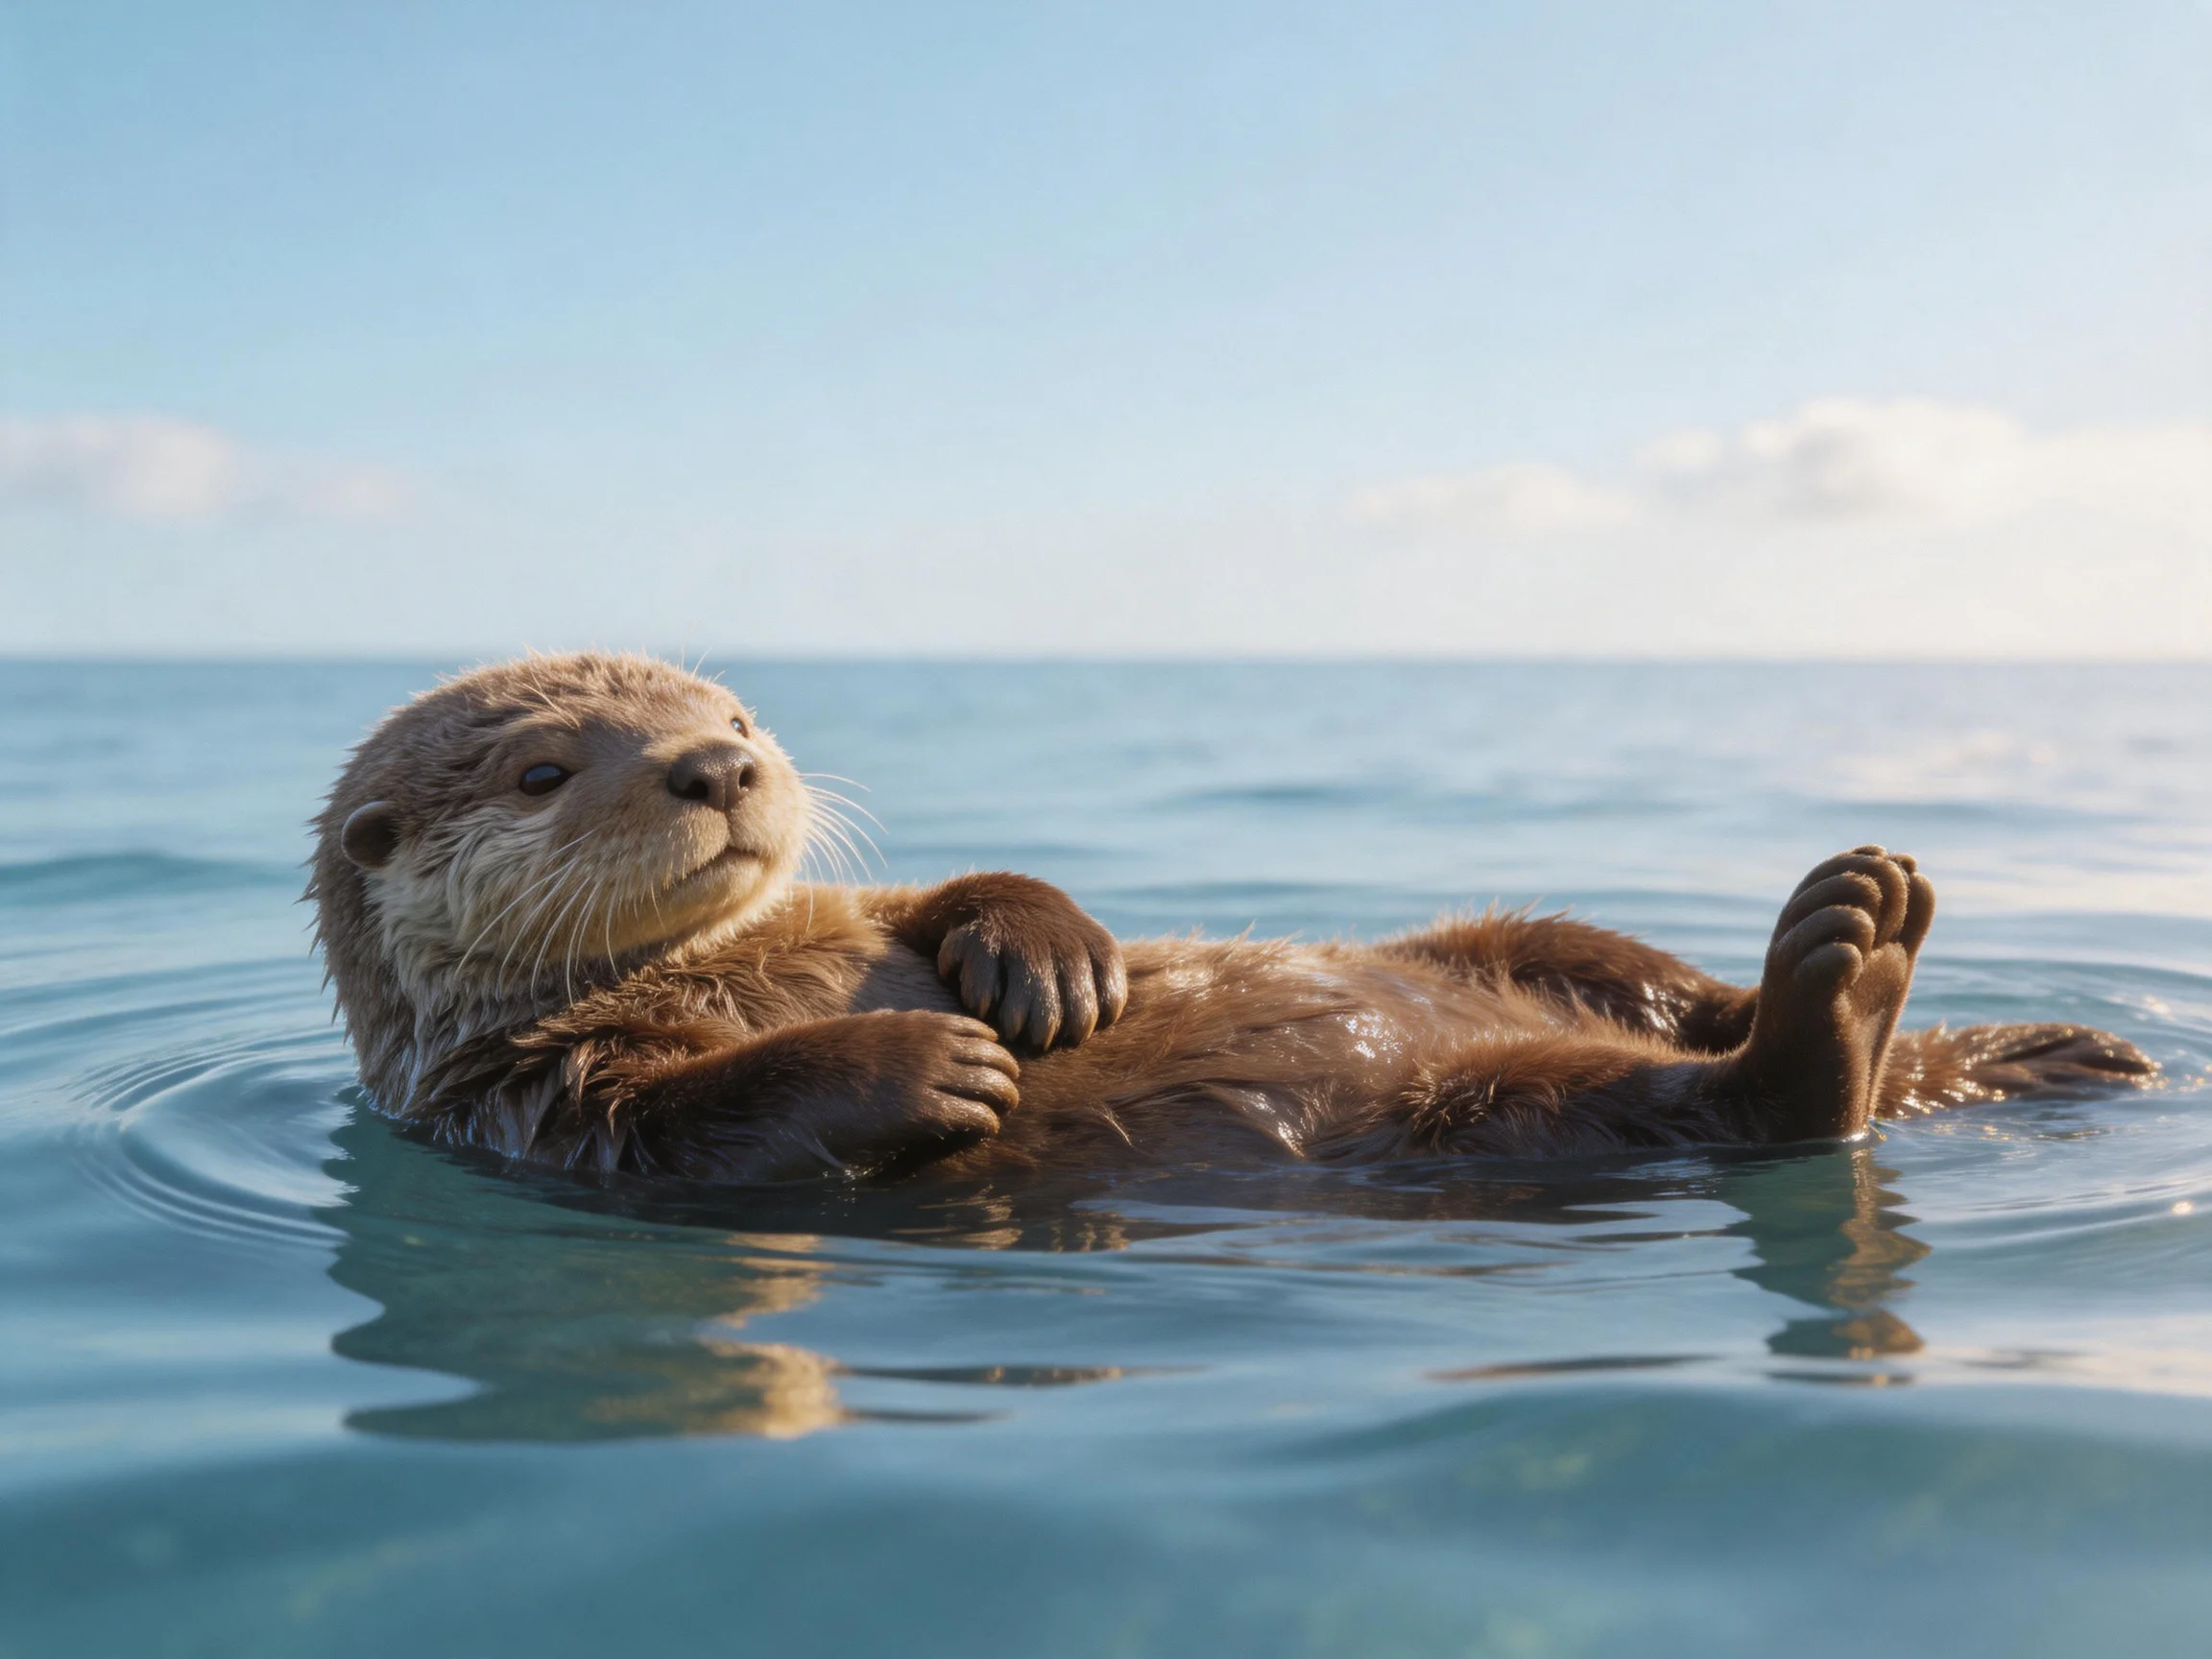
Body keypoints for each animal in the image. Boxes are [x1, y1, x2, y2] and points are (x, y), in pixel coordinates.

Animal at [309, 653, 2154, 1183]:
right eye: (547, 767)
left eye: (740, 712)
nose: (721, 764)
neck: (744, 959)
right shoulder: (521, 1100)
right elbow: (695, 1118)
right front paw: (933, 1061)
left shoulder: (867, 894)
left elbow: (958, 888)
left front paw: (1048, 957)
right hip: (1479, 1121)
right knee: (1722, 1108)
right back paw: (1841, 987)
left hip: (1518, 936)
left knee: (1628, 973)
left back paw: (1868, 948)